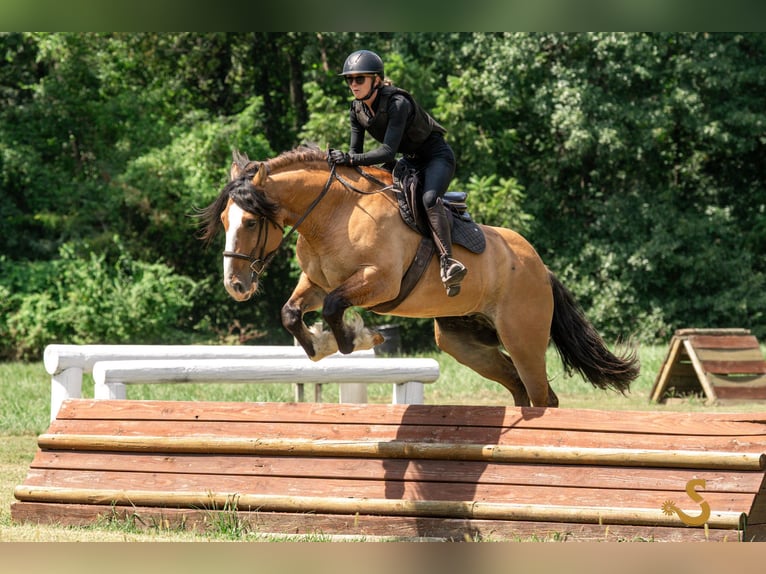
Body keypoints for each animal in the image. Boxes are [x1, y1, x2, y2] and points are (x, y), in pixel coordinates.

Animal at [198, 146, 639, 407]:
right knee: (520, 389)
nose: (235, 286)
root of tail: (540, 267)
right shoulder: (317, 282)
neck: (334, 214)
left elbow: (335, 307)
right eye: (223, 221)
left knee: (540, 394)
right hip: (463, 342)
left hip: (523, 338)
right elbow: (292, 312)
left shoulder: (378, 282)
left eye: (250, 222)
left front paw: (354, 340)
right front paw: (320, 347)